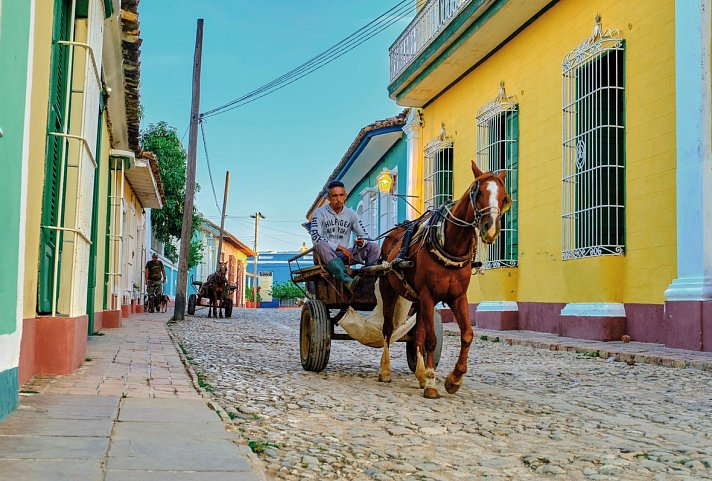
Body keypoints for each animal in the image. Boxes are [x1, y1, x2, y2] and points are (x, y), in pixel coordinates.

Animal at [382, 161, 508, 398]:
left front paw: (453, 379)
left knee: (417, 335)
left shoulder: (457, 297)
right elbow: (431, 340)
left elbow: (466, 334)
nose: (491, 229)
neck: (450, 244)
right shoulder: (428, 295)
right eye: (477, 192)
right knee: (387, 329)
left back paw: (420, 374)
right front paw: (432, 383)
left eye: (504, 197)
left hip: (416, 300)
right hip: (390, 292)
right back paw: (385, 371)